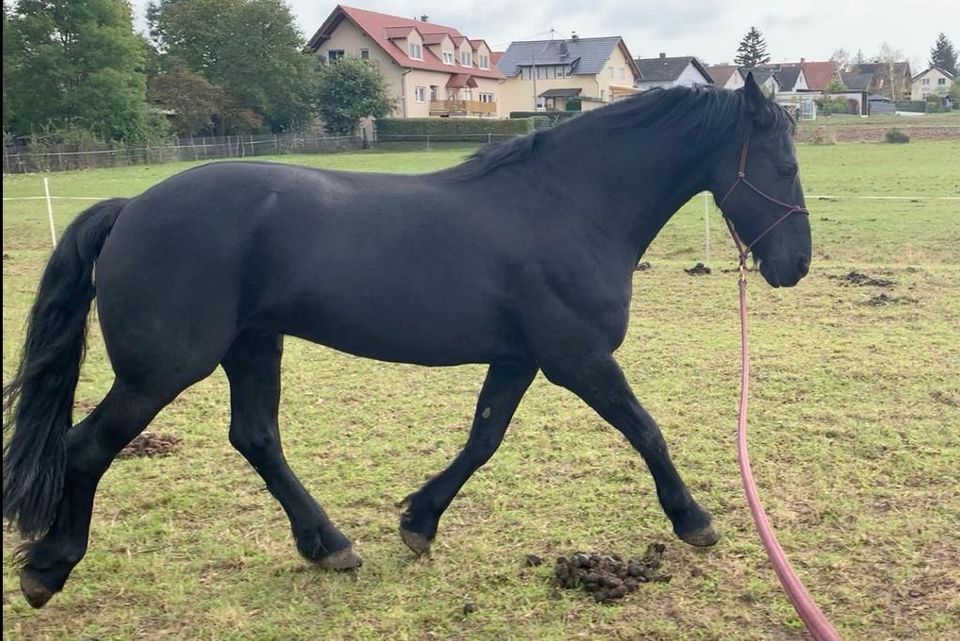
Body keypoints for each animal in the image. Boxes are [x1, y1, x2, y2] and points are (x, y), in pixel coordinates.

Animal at [3, 74, 808, 604]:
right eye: (785, 163)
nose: (795, 265)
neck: (565, 206)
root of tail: (132, 205)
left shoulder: (519, 359)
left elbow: (483, 438)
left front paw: (419, 521)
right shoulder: (577, 359)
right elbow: (645, 429)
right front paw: (694, 520)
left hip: (254, 345)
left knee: (256, 437)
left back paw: (329, 545)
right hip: (163, 369)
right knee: (86, 446)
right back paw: (47, 568)